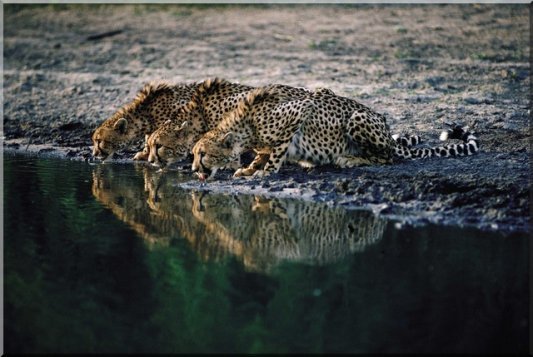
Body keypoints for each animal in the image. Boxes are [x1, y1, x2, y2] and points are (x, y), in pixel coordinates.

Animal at [190, 86, 478, 181]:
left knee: (387, 158)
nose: (193, 169)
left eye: (202, 154)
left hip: (357, 118)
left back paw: (348, 159)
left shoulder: (301, 109)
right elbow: (264, 152)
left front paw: (264, 172)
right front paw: (250, 168)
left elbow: (276, 153)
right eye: (193, 153)